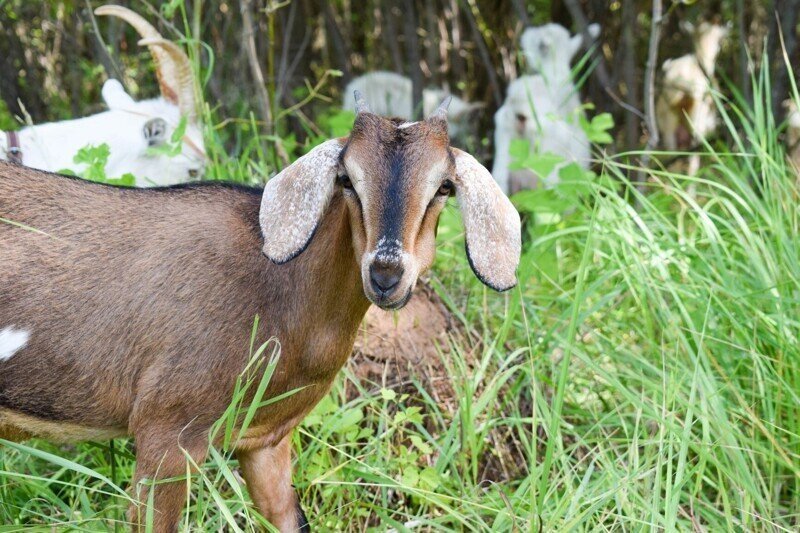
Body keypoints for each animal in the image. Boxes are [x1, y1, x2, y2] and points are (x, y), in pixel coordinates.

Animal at [0, 95, 520, 532]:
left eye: (444, 187)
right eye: (347, 179)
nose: (386, 274)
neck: (277, 294)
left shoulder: (266, 439)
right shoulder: (166, 432)